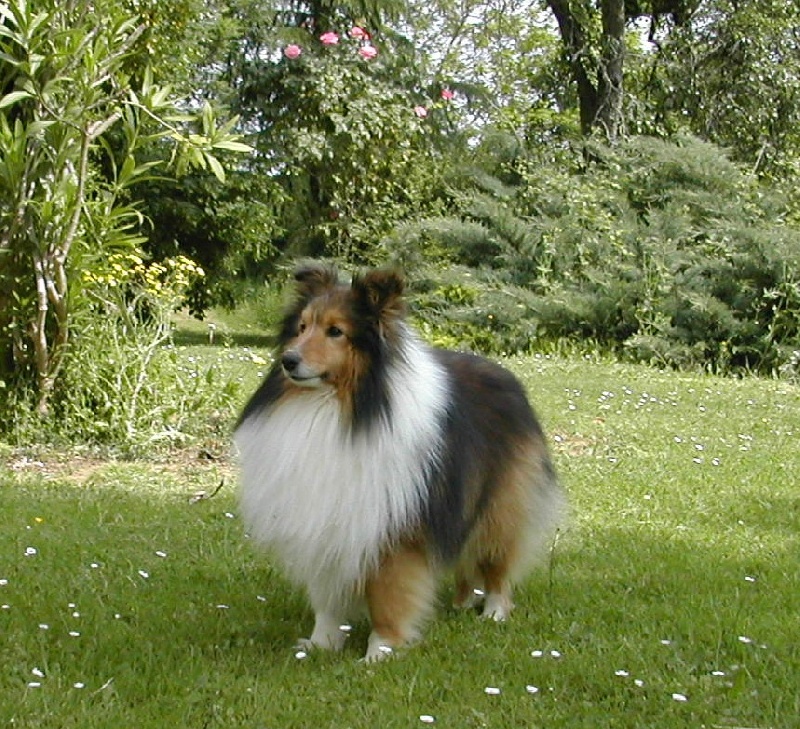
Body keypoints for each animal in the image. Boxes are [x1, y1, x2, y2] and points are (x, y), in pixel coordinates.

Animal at [234, 264, 564, 660]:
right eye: (301, 327)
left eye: (335, 331)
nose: (289, 360)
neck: (342, 408)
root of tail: (508, 378)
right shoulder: (327, 519)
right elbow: (327, 596)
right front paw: (321, 643)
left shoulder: (393, 524)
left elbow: (389, 595)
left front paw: (380, 651)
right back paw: (462, 603)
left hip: (500, 507)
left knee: (496, 560)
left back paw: (494, 612)